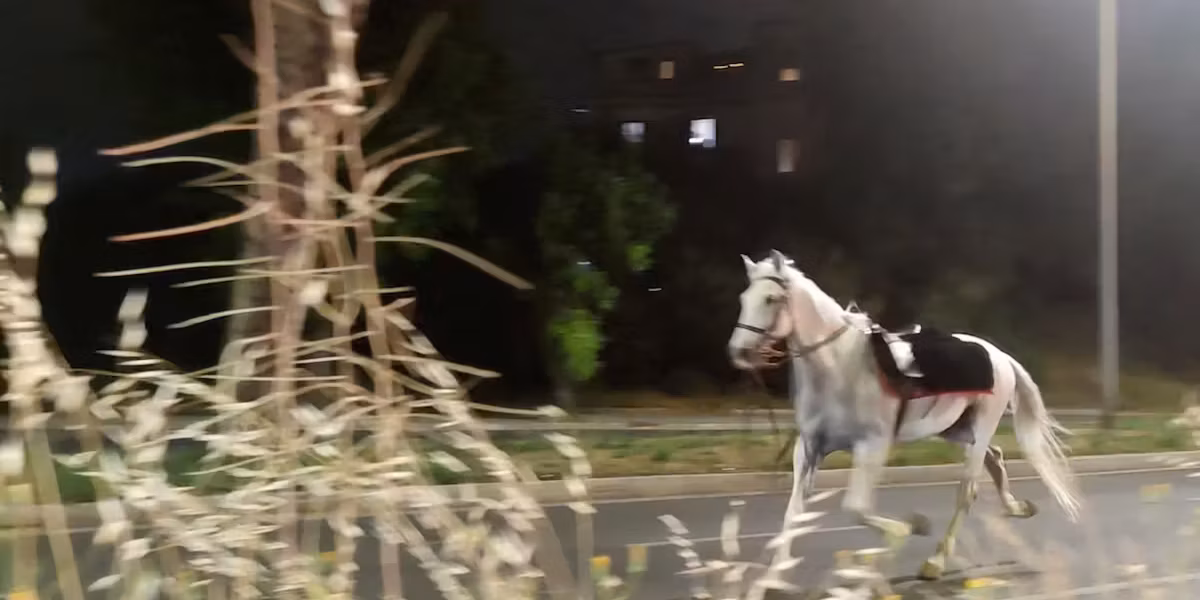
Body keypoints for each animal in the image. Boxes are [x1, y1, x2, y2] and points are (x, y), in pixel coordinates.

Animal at [727, 249, 1081, 580]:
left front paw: (910, 527)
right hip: (955, 428)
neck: (841, 368)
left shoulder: (871, 446)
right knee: (995, 458)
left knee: (967, 491)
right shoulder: (809, 448)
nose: (738, 352)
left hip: (982, 425)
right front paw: (774, 575)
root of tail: (1000, 356)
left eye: (771, 299)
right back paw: (1017, 507)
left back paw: (937, 561)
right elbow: (794, 512)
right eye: (744, 299)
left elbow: (856, 508)